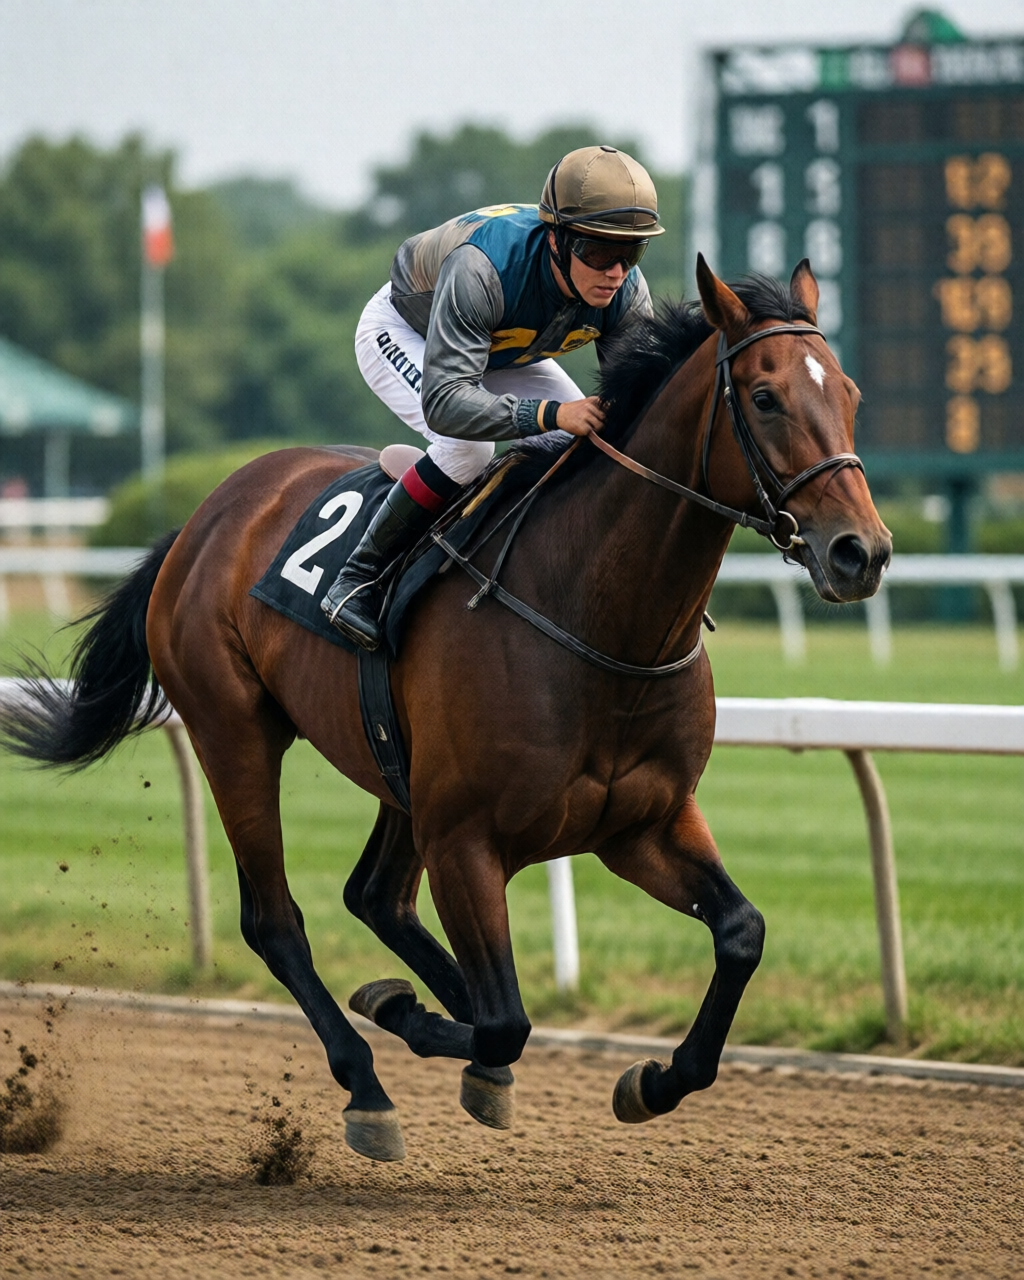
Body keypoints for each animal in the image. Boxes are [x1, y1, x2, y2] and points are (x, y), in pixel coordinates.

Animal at [2, 258, 891, 1163]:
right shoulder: (466, 840)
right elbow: (506, 1019)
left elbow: (740, 933)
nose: (862, 552)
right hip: (234, 732)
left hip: (398, 771)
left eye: (850, 391)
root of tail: (205, 514)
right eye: (765, 397)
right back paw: (368, 1082)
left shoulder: (643, 823)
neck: (597, 615)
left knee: (374, 897)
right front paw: (406, 1013)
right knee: (277, 921)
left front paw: (651, 1080)